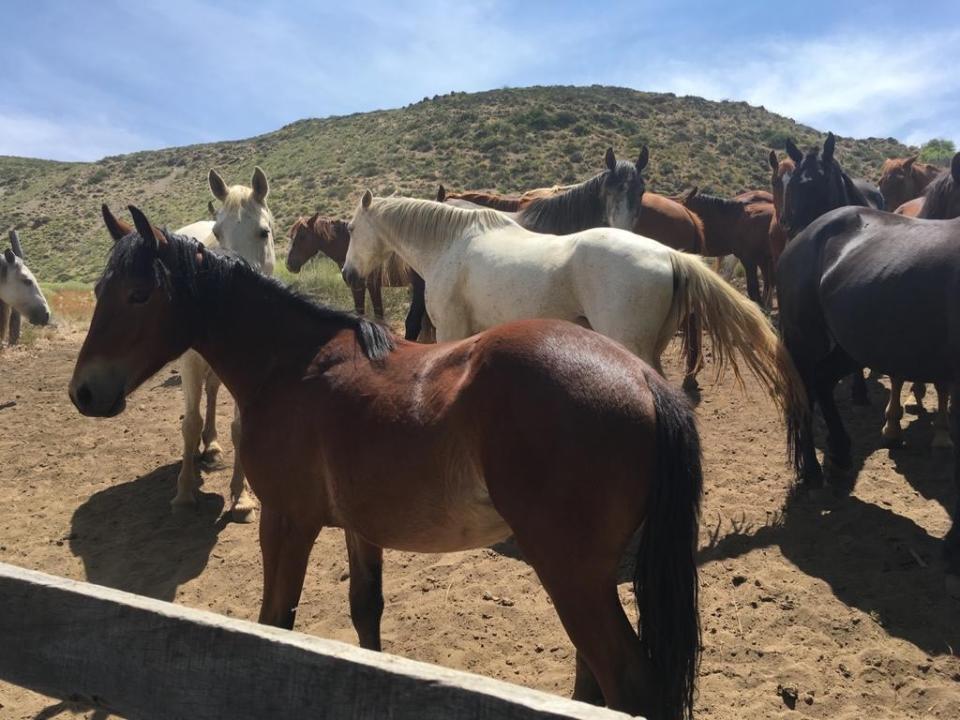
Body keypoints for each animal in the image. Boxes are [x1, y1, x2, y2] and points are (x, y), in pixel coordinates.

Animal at [69, 204, 704, 720]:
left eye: (139, 294)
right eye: (101, 290)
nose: (85, 392)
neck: (294, 363)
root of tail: (644, 379)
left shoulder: (286, 522)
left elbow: (276, 622)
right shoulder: (360, 528)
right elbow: (365, 614)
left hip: (572, 574)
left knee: (627, 684)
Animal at [175, 166, 276, 520]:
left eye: (263, 232)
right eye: (218, 234)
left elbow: (240, 427)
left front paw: (242, 497)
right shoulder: (191, 362)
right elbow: (190, 423)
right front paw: (184, 493)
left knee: (212, 392)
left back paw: (213, 446)